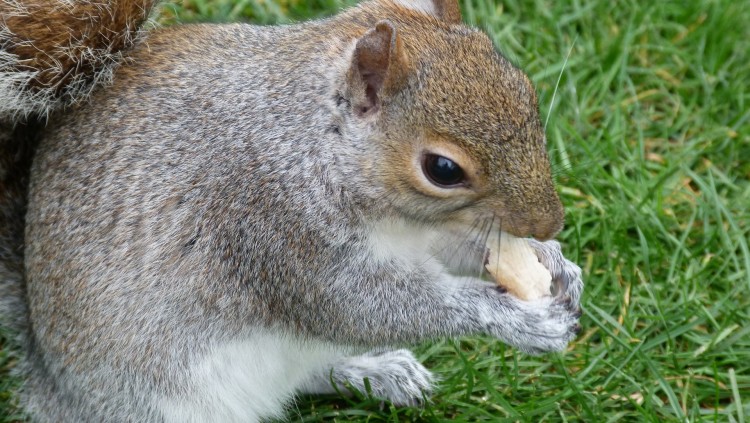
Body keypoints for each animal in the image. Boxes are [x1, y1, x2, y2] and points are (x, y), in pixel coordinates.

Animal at [0, 0, 588, 422]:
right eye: (443, 169)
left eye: (525, 89)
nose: (550, 222)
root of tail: (53, 385)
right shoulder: (272, 222)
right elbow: (360, 306)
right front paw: (516, 319)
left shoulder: (430, 231)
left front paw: (556, 263)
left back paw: (373, 372)